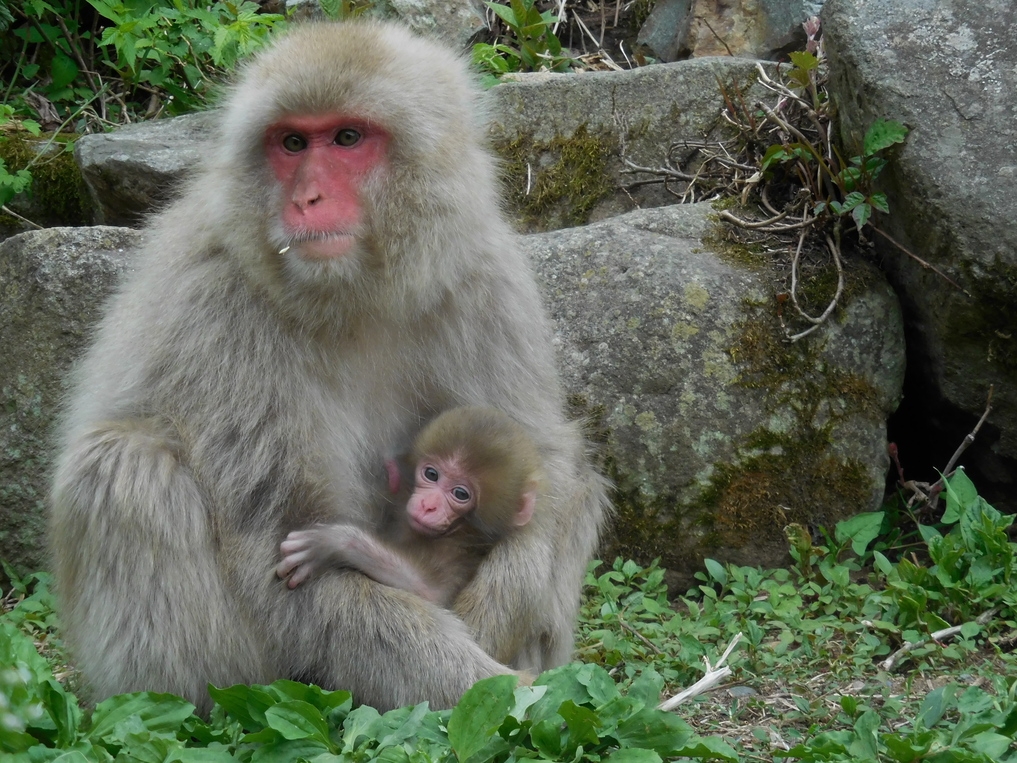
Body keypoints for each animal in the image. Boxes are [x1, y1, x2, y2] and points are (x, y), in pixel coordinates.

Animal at [276, 406, 543, 607]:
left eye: (460, 493)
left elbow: (429, 593)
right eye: (432, 474)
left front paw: (336, 542)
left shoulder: (458, 551)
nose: (427, 505)